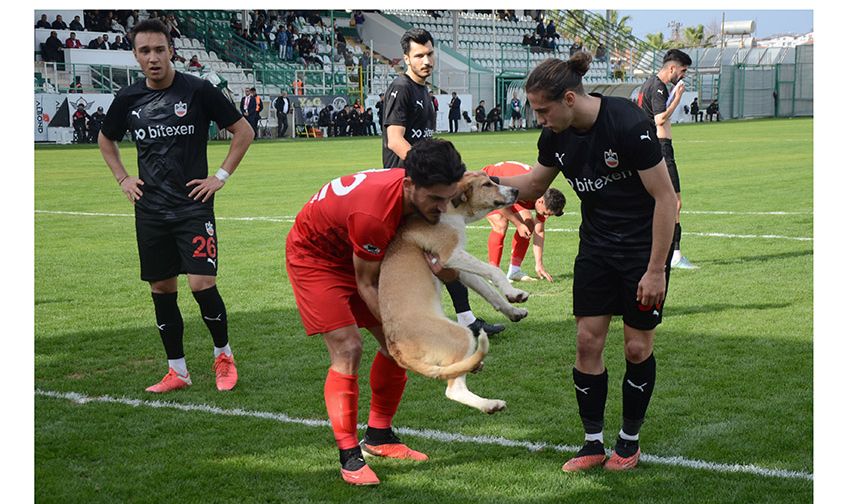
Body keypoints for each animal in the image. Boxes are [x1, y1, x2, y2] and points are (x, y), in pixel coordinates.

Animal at [380, 172, 528, 414]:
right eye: (487, 184)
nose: (516, 191)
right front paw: (511, 289)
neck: (452, 210)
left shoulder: (458, 267)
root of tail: (396, 348)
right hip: (460, 335)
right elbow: (493, 270)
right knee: (453, 390)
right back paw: (489, 404)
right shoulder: (451, 255)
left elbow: (488, 289)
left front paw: (513, 305)